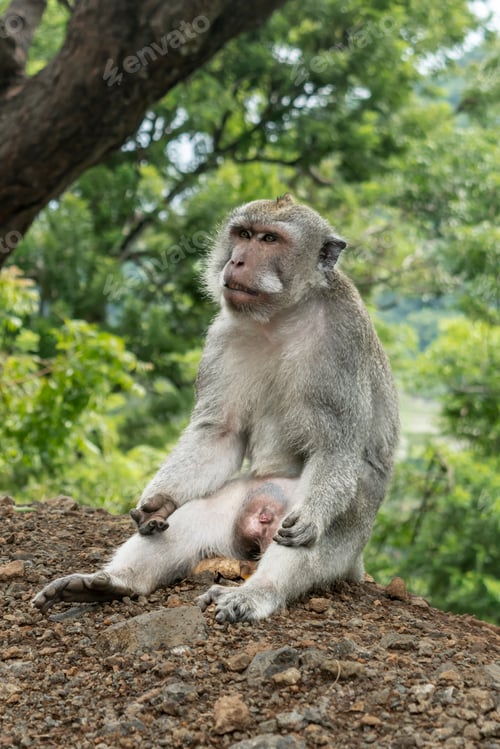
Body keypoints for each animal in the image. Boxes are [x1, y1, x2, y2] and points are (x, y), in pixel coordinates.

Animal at [33, 194, 399, 622]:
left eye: (270, 239)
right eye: (243, 234)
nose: (237, 261)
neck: (283, 315)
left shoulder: (343, 339)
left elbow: (335, 449)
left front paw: (311, 517)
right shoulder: (222, 335)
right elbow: (219, 434)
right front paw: (156, 504)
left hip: (349, 529)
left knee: (311, 534)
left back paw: (256, 592)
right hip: (243, 499)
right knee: (192, 518)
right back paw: (111, 583)